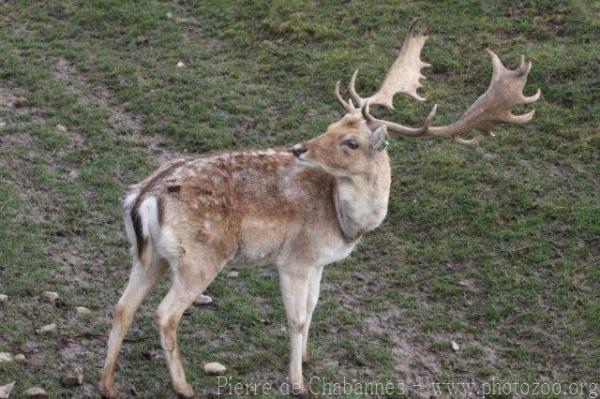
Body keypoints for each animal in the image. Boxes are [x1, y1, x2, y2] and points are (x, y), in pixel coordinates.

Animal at [101, 23, 540, 398]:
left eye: (349, 140)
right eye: (332, 127)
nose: (298, 148)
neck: (343, 223)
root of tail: (143, 197)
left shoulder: (317, 262)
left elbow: (313, 308)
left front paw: (308, 360)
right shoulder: (295, 258)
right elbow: (296, 318)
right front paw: (298, 383)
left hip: (149, 255)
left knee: (123, 306)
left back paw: (108, 385)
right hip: (200, 257)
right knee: (164, 313)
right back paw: (183, 386)